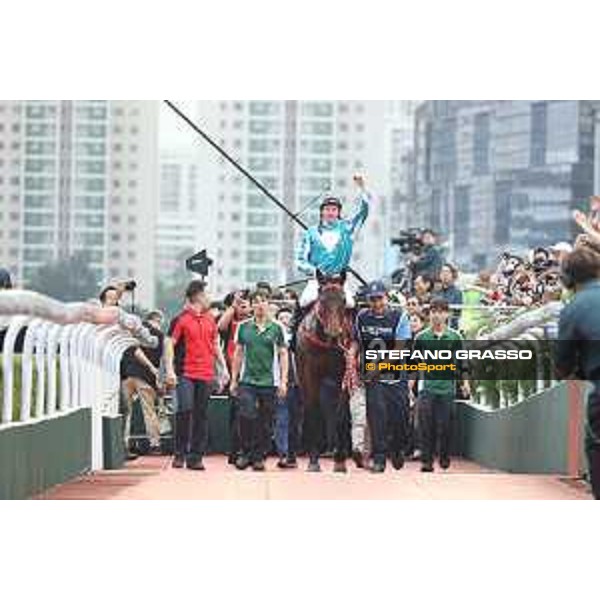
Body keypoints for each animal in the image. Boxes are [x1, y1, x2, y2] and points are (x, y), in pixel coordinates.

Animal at [296, 274, 356, 472]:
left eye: (343, 300)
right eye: (322, 300)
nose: (335, 332)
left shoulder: (344, 371)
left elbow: (340, 413)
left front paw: (340, 461)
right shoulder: (309, 372)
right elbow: (314, 410)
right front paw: (313, 461)